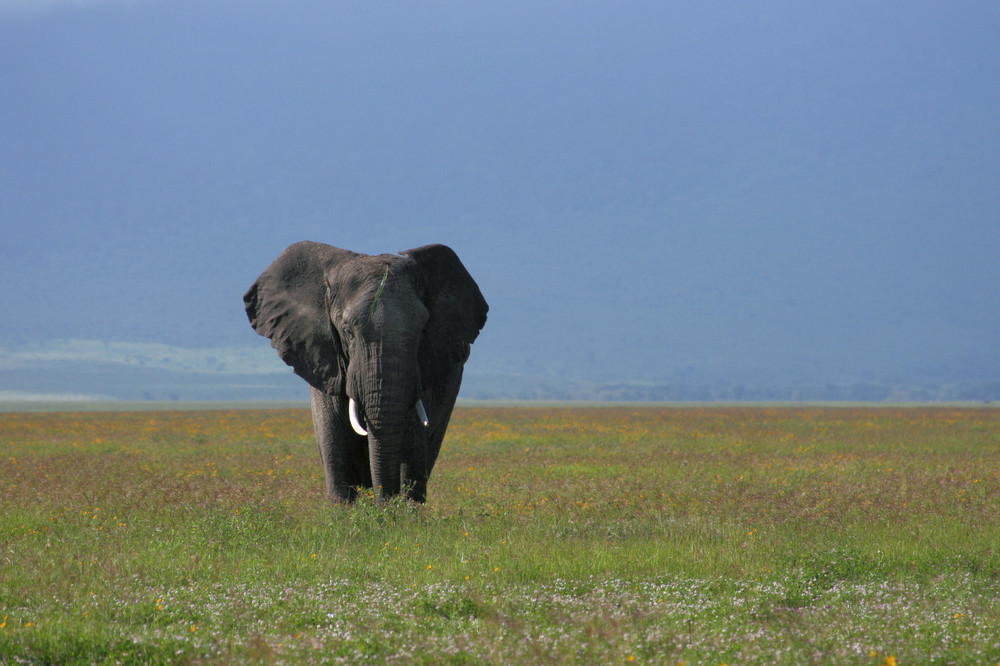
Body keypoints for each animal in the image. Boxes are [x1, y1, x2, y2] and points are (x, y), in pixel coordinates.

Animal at [246, 241, 488, 500]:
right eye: (347, 331)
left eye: (423, 330)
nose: (387, 502)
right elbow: (334, 444)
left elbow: (411, 441)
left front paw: (405, 509)